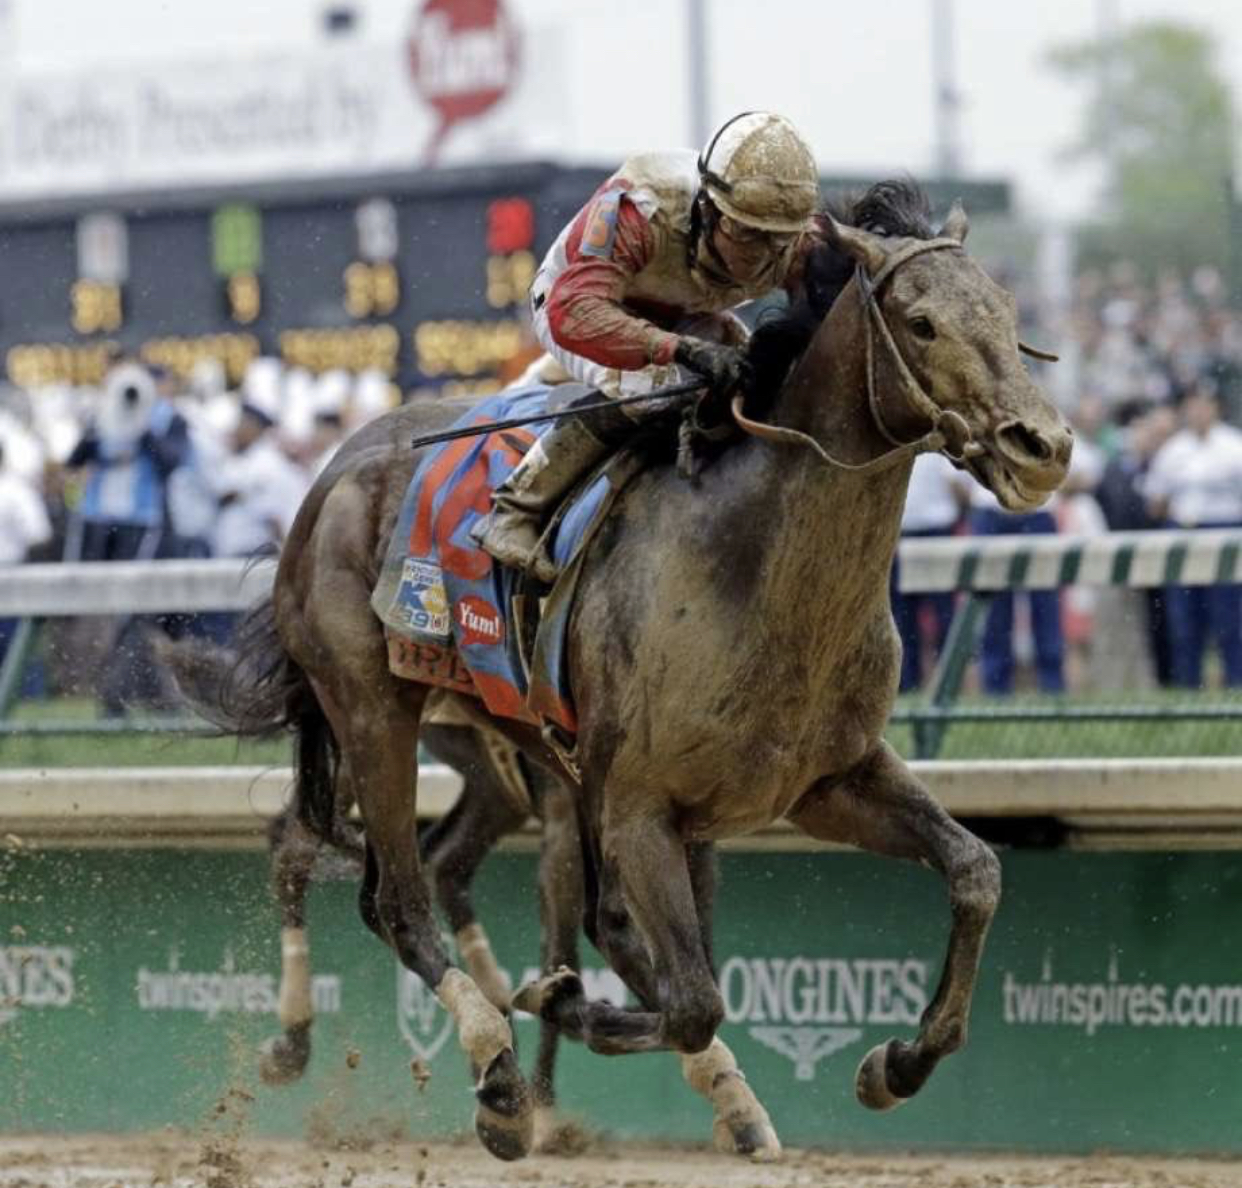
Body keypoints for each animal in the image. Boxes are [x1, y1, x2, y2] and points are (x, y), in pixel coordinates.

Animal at [201, 183, 1068, 1156]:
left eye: (1007, 312)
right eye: (921, 323)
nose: (1043, 446)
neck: (752, 564)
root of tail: (332, 475)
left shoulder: (826, 781)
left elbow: (975, 871)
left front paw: (899, 1063)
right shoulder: (638, 807)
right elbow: (687, 996)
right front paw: (557, 1009)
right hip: (371, 709)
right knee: (392, 897)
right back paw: (493, 1076)